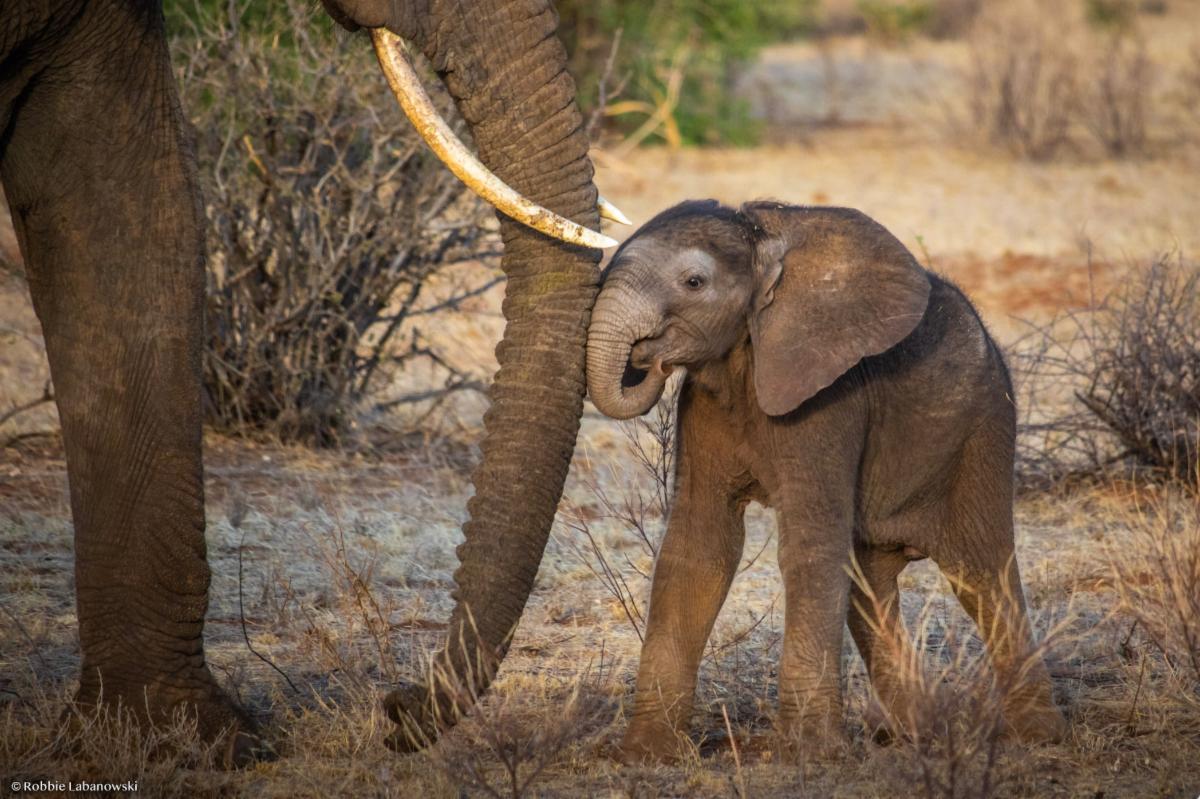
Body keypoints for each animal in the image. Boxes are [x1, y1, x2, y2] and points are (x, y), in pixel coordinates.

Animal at [585, 200, 1068, 762]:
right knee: (868, 581)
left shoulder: (830, 402)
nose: (649, 359)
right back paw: (918, 732)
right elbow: (698, 546)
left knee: (983, 574)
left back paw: (1033, 736)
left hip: (983, 430)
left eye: (693, 282)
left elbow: (809, 547)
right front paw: (647, 753)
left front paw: (807, 753)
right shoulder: (703, 404)